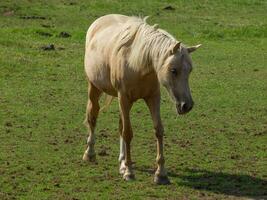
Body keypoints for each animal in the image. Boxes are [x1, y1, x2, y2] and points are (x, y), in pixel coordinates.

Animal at [82, 14, 202, 184]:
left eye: (189, 70)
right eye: (173, 70)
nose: (187, 105)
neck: (136, 63)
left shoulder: (153, 98)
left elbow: (158, 130)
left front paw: (160, 173)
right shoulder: (124, 98)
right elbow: (127, 133)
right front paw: (129, 172)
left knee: (119, 125)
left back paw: (122, 162)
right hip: (95, 87)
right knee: (93, 116)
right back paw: (90, 153)